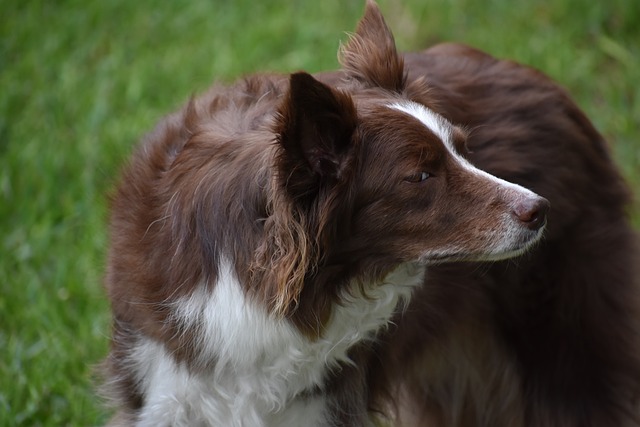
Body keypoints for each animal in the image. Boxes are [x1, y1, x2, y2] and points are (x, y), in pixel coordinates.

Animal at [101, 1, 640, 426]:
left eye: (464, 150)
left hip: (566, 348)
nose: (541, 210)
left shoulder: (323, 403)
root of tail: (548, 84)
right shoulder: (164, 385)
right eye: (420, 176)